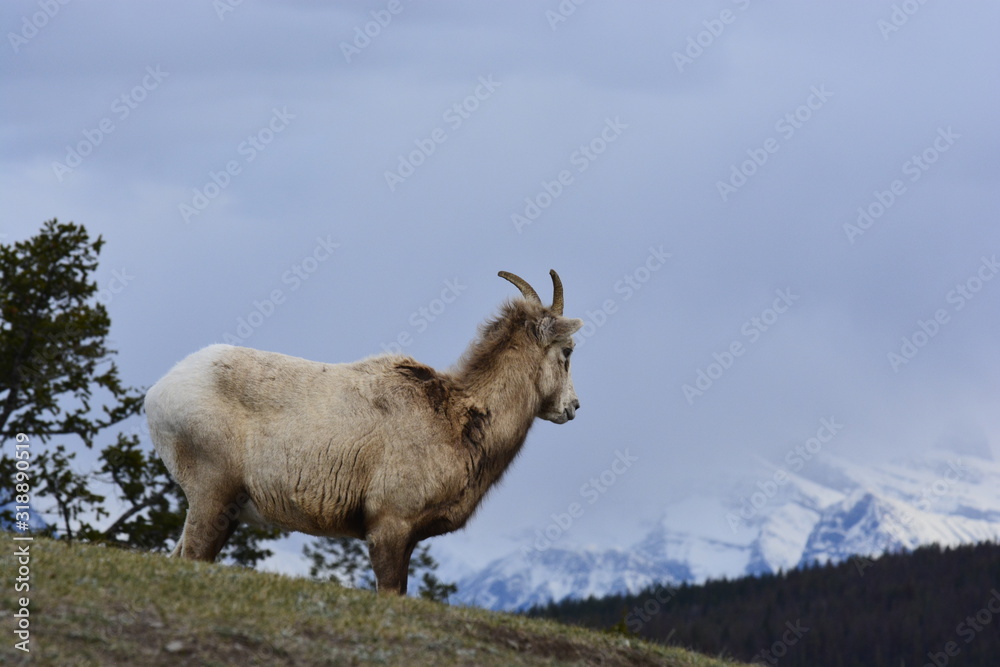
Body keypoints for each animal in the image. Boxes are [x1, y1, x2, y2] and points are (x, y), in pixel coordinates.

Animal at [145, 268, 584, 592]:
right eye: (567, 351)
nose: (573, 408)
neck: (458, 418)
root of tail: (159, 390)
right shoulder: (389, 527)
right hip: (211, 497)